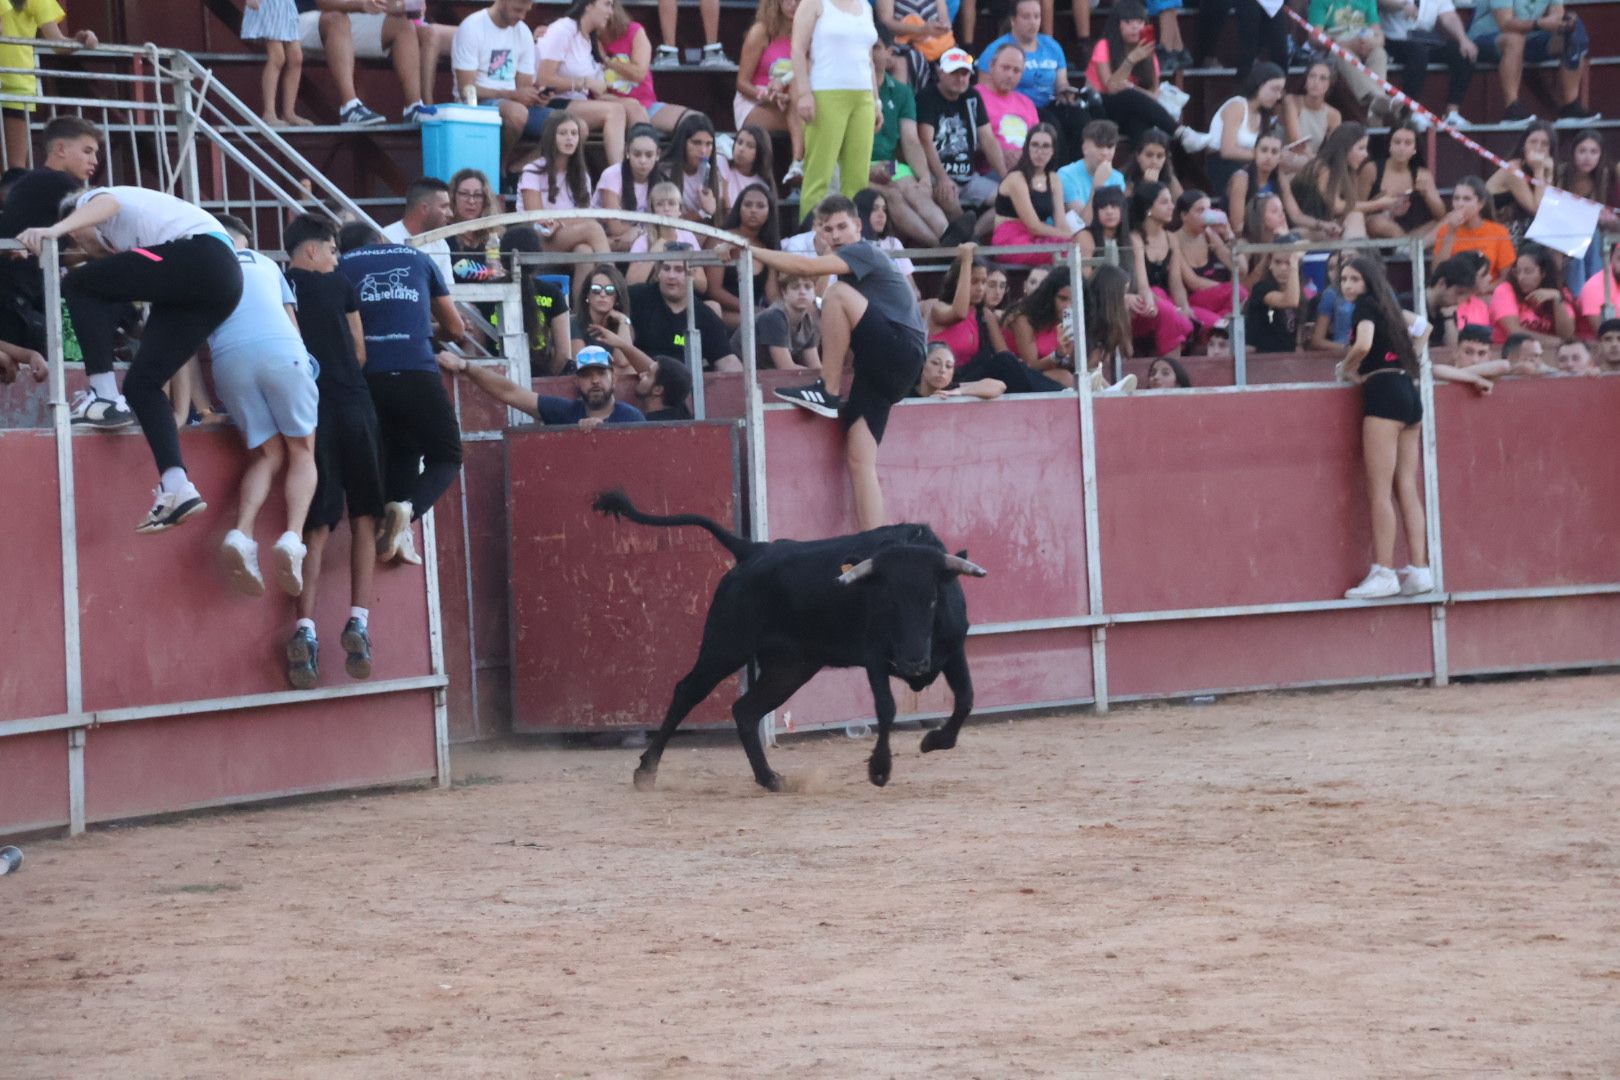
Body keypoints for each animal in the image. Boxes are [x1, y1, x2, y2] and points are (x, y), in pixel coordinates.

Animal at [589, 495, 978, 790]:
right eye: (887, 601)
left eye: (933, 599)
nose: (914, 664)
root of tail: (753, 550)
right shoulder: (875, 658)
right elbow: (887, 707)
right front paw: (879, 770)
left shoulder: (953, 650)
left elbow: (965, 700)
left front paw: (934, 741)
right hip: (725, 646)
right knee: (688, 691)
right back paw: (646, 770)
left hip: (790, 668)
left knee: (745, 710)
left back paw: (770, 778)